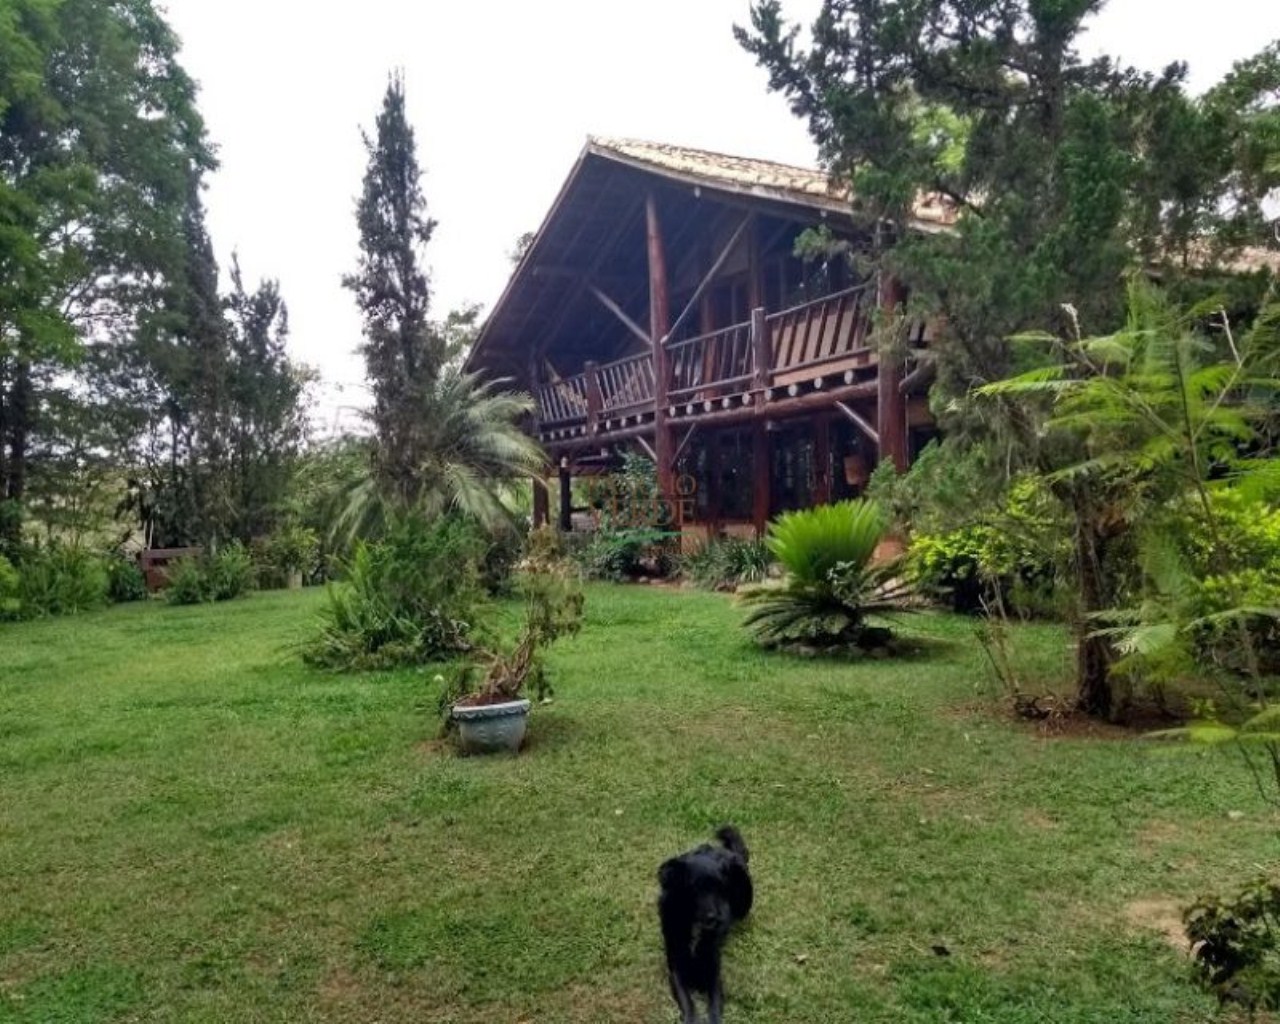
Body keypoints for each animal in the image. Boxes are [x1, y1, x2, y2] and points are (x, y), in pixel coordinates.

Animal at [660, 824, 747, 1024]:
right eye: (695, 887)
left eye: (720, 887)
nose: (713, 918)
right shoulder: (676, 969)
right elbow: (687, 1002)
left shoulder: (714, 971)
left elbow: (714, 1004)